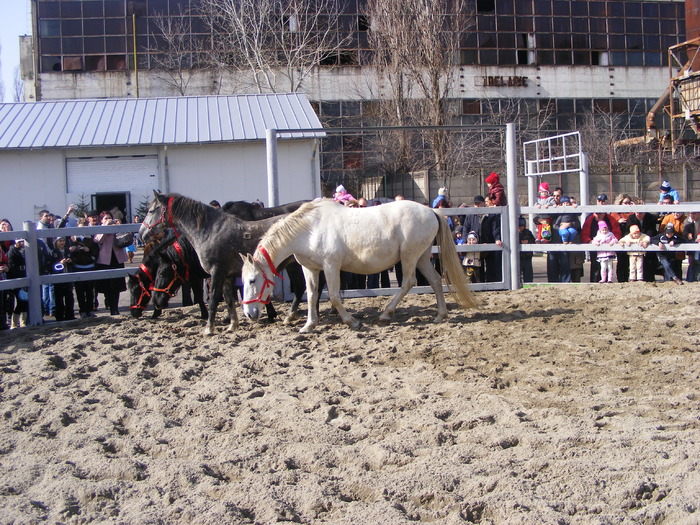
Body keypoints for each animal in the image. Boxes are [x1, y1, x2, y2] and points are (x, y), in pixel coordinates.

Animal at [241, 198, 476, 332]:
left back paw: (385, 314)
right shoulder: (311, 268)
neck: (309, 229)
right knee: (435, 280)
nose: (250, 314)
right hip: (422, 257)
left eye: (252, 280)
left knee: (408, 282)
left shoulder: (331, 266)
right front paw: (309, 325)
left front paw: (352, 322)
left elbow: (334, 296)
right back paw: (439, 316)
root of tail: (431, 211)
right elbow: (312, 295)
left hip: (410, 256)